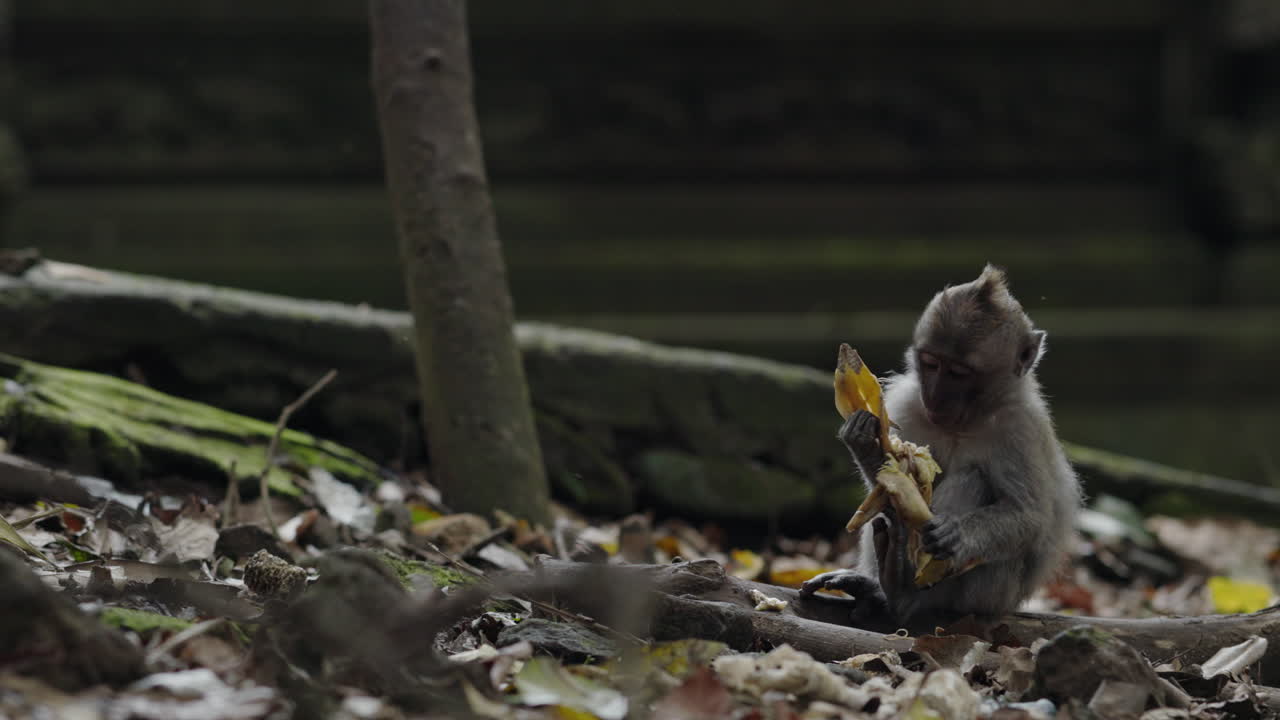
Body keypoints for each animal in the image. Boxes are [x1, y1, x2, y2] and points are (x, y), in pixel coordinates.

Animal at [800, 264, 1081, 625]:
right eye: (931, 363)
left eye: (959, 372)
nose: (934, 395)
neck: (965, 421)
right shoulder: (907, 402)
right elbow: (885, 489)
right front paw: (864, 443)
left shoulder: (1021, 426)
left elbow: (1030, 515)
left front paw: (959, 534)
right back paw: (883, 582)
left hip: (985, 597)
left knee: (974, 480)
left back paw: (900, 590)